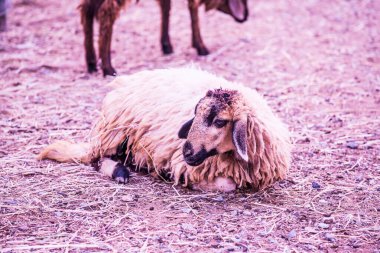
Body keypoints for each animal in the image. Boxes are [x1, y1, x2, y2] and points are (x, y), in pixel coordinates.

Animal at [37, 67, 290, 192]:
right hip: (115, 131)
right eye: (195, 113)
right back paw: (120, 172)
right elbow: (227, 185)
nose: (187, 151)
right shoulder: (186, 165)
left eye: (220, 122)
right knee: (96, 158)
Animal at [78, 0, 248, 75]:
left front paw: (166, 45)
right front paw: (201, 46)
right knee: (105, 11)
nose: (245, 15)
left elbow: (166, 6)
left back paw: (91, 62)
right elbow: (192, 7)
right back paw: (108, 67)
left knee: (87, 9)